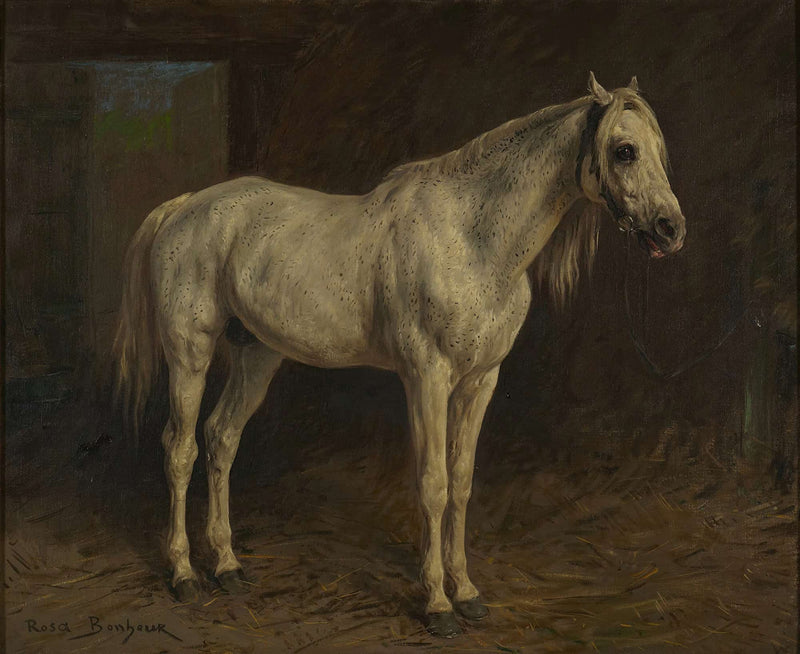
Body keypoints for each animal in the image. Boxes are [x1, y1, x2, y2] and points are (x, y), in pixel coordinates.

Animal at [114, 73, 685, 638]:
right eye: (625, 150)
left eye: (659, 150)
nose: (671, 228)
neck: (472, 240)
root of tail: (185, 206)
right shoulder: (426, 379)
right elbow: (433, 485)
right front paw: (438, 605)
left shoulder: (481, 381)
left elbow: (462, 482)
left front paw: (468, 593)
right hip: (190, 354)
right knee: (180, 449)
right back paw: (185, 575)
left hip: (257, 356)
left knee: (221, 438)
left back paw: (228, 567)